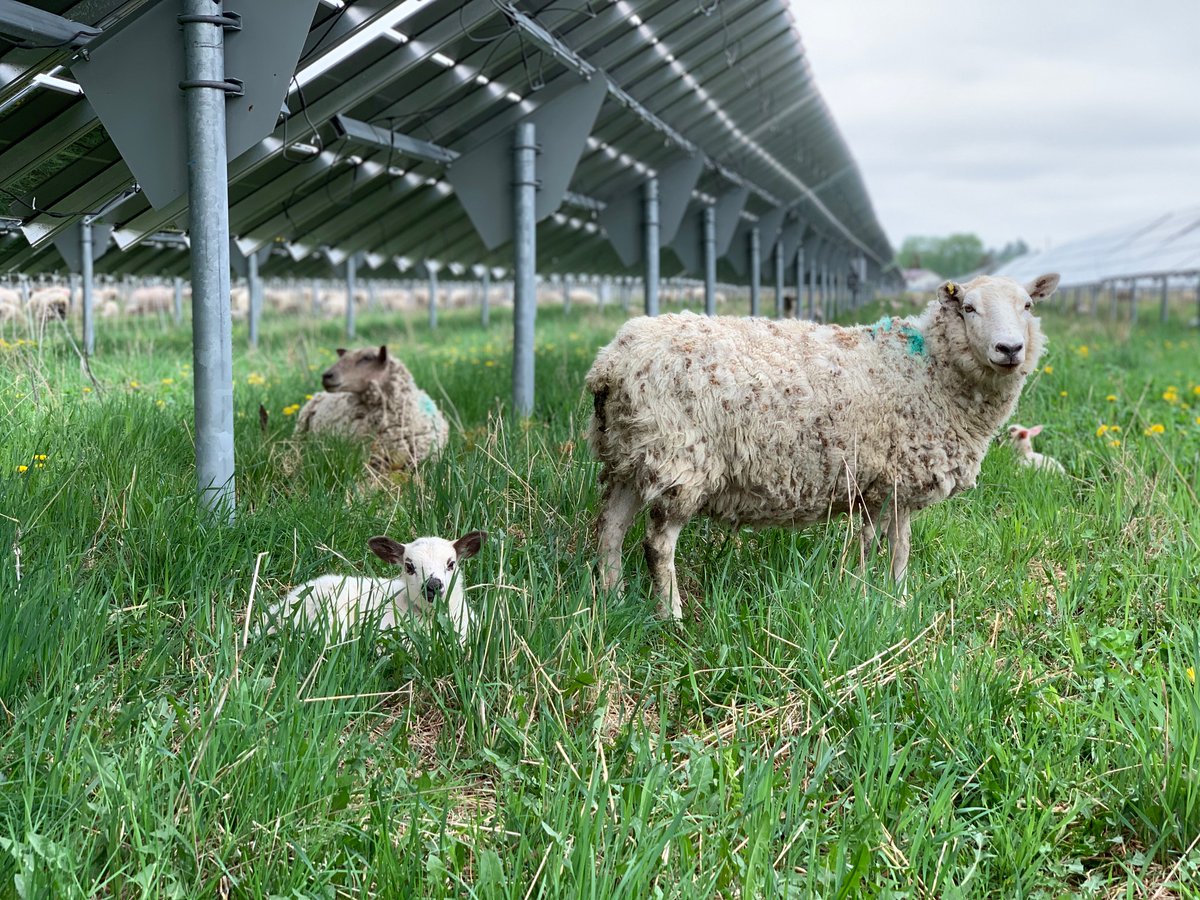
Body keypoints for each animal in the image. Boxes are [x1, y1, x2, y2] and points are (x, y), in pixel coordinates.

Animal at [588, 271, 1060, 619]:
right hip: (679, 460)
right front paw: (875, 596)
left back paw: (612, 600)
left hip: (630, 455)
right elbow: (881, 545)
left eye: (1028, 306)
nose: (1010, 348)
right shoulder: (889, 480)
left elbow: (889, 543)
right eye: (968, 308)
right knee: (657, 545)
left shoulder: (887, 483)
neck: (929, 369)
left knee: (610, 530)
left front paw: (887, 596)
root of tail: (611, 363)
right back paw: (671, 616)